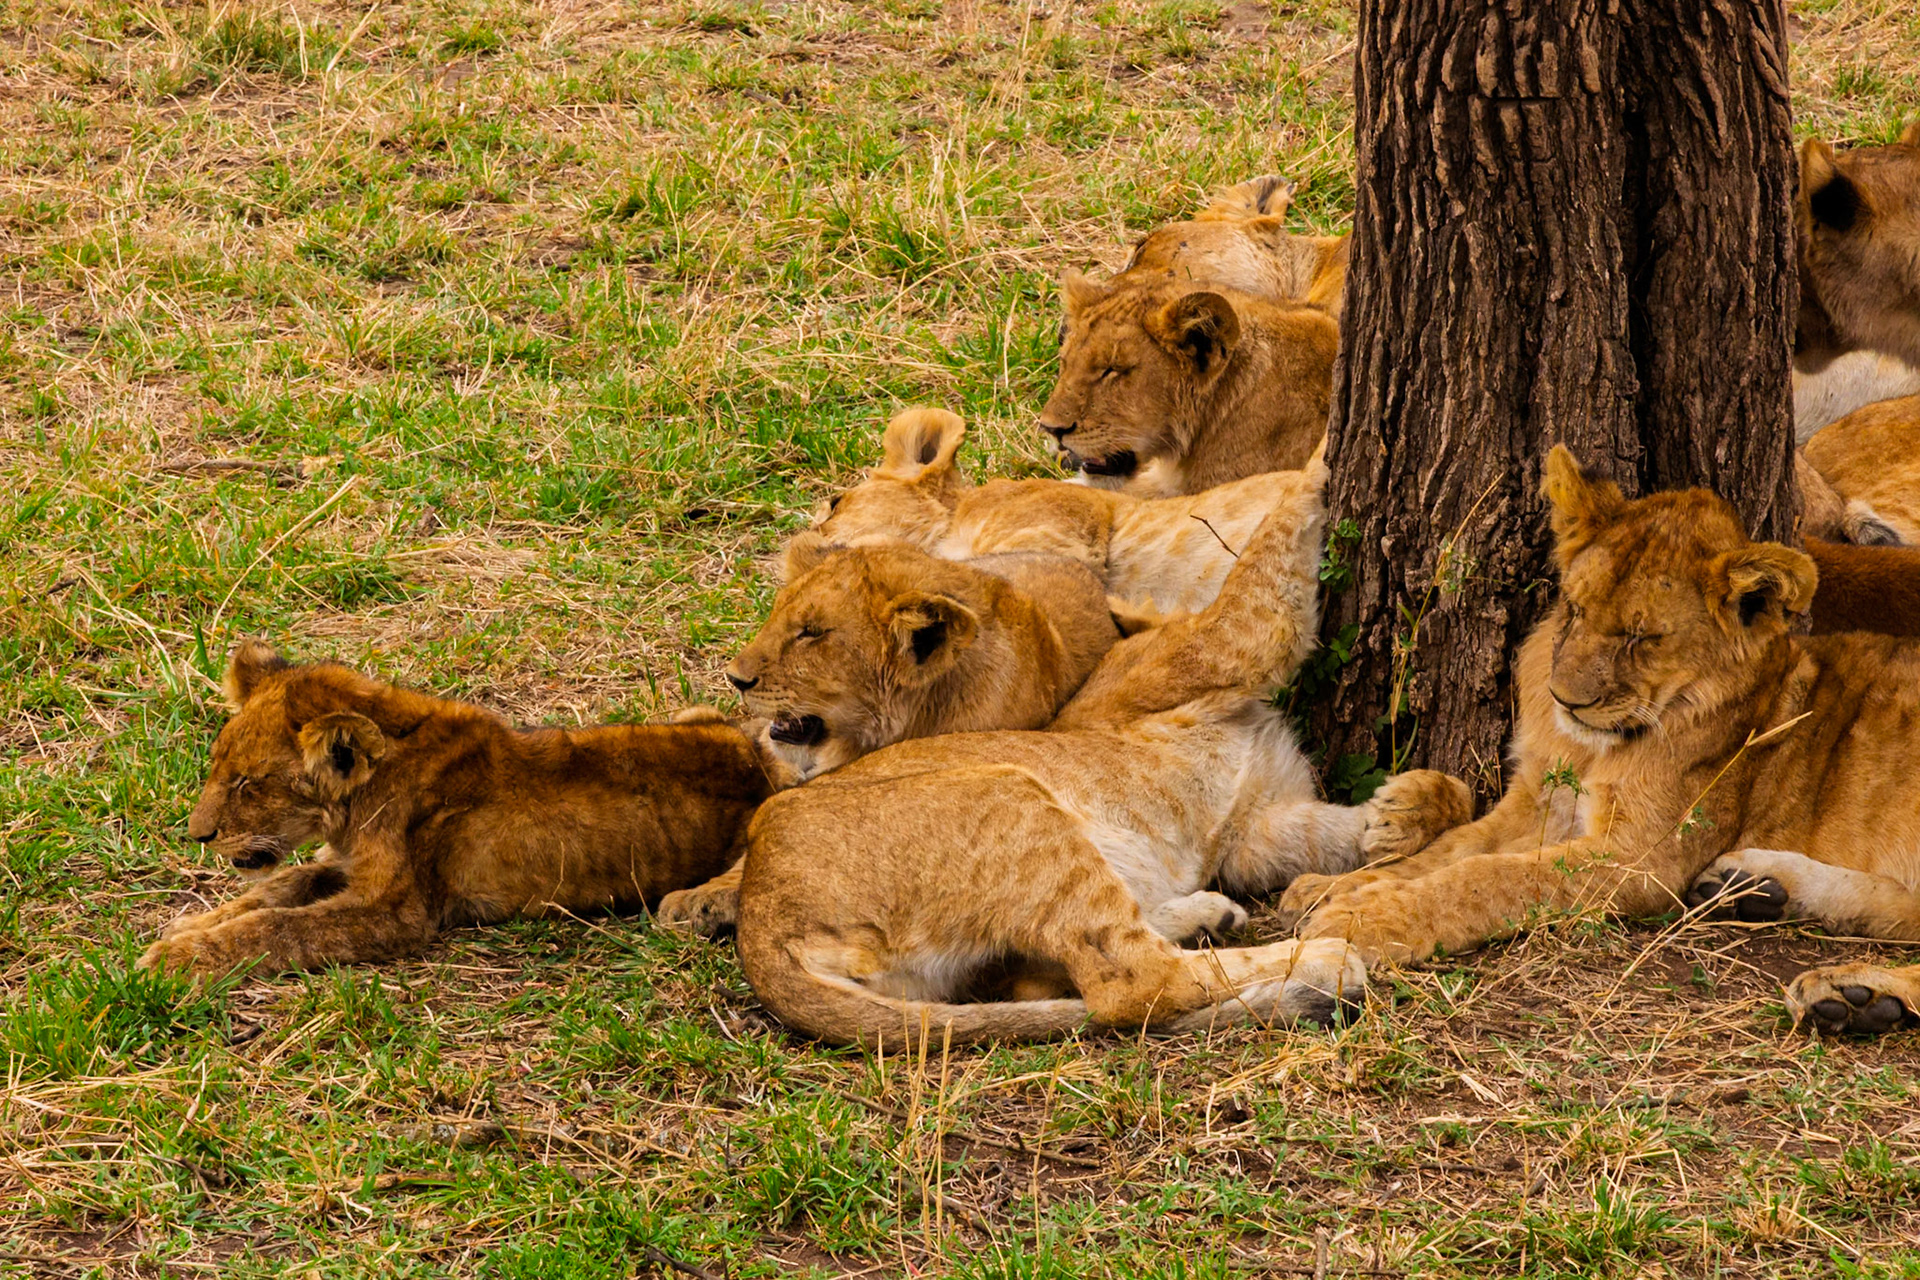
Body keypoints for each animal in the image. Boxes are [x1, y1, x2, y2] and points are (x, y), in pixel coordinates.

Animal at [139, 643, 772, 977]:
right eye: (218, 767)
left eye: (249, 783)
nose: (197, 836)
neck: (356, 804)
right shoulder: (344, 866)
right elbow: (278, 889)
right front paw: (194, 923)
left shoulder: (399, 914)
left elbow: (279, 926)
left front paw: (176, 955)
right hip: (700, 714)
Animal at [715, 476, 1471, 1046]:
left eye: (809, 632)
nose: (739, 679)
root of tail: (759, 924)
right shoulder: (1219, 648)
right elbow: (1271, 553)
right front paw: (1312, 461)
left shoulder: (1253, 826)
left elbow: (1337, 833)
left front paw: (1410, 808)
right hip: (1011, 794)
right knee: (1131, 984)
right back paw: (1319, 965)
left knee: (1063, 975)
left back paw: (1210, 918)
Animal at [1283, 447, 1920, 1037]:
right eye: (1574, 608)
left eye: (1643, 638)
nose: (1566, 701)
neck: (1589, 749)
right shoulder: (1538, 803)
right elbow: (1453, 851)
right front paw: (1330, 889)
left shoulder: (1641, 861)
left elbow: (1487, 878)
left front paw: (1359, 919)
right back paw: (1758, 887)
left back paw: (1856, 996)